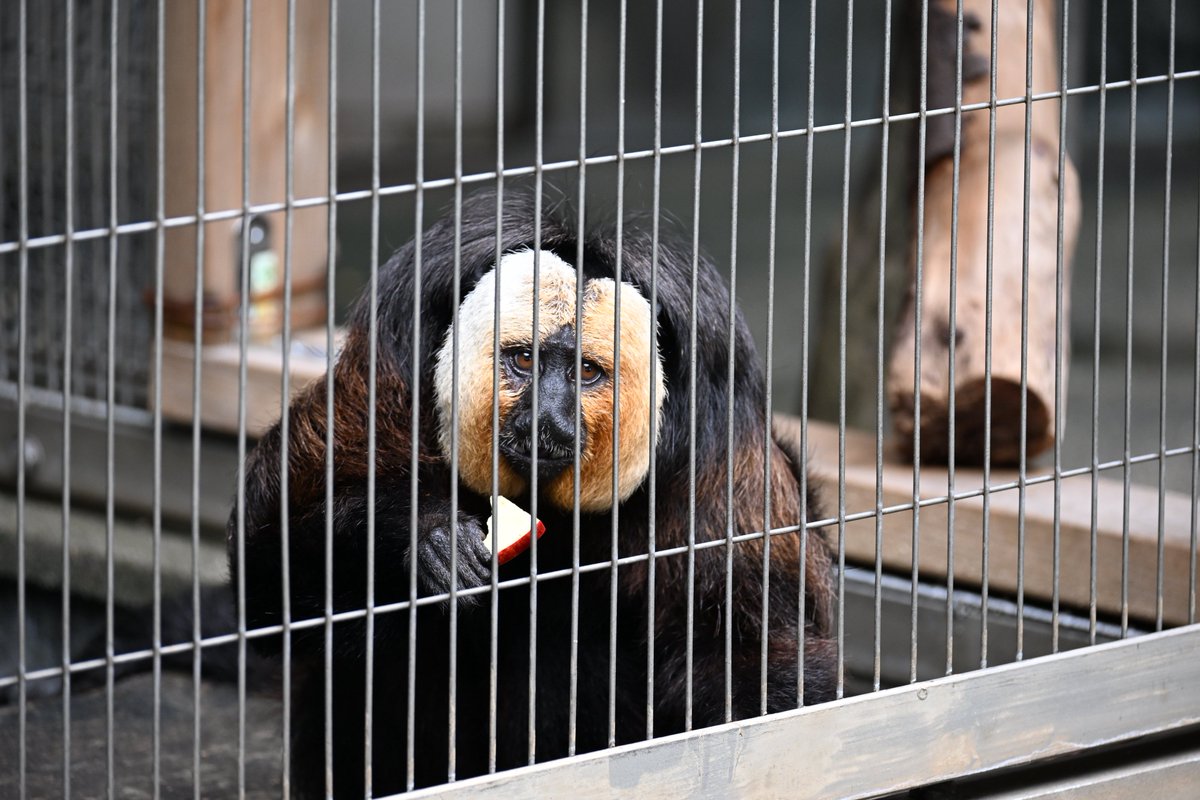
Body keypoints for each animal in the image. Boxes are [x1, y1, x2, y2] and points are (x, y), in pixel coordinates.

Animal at [229, 188, 836, 797]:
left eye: (586, 372)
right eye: (525, 360)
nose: (546, 418)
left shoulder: (718, 438)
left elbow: (750, 653)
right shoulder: (389, 365)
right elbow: (269, 571)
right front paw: (427, 535)